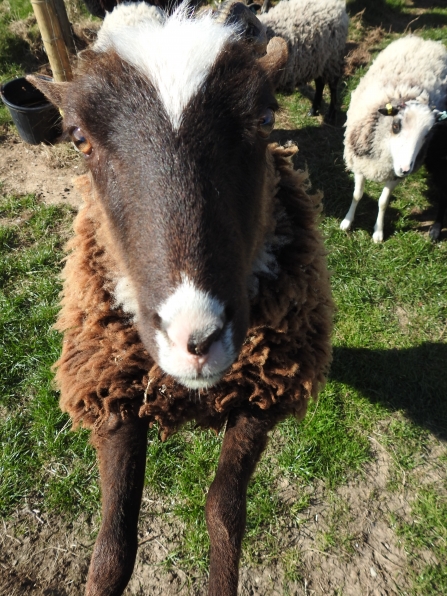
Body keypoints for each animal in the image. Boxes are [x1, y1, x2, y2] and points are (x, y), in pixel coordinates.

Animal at [29, 2, 334, 592]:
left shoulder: (259, 396)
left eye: (266, 120)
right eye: (78, 139)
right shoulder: (112, 393)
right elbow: (112, 547)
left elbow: (225, 514)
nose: (195, 339)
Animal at [342, 35, 447, 242]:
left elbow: (383, 202)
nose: (406, 169)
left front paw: (378, 232)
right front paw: (347, 222)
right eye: (396, 126)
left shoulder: (394, 175)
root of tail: (425, 41)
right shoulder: (359, 162)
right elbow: (357, 194)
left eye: (427, 135)